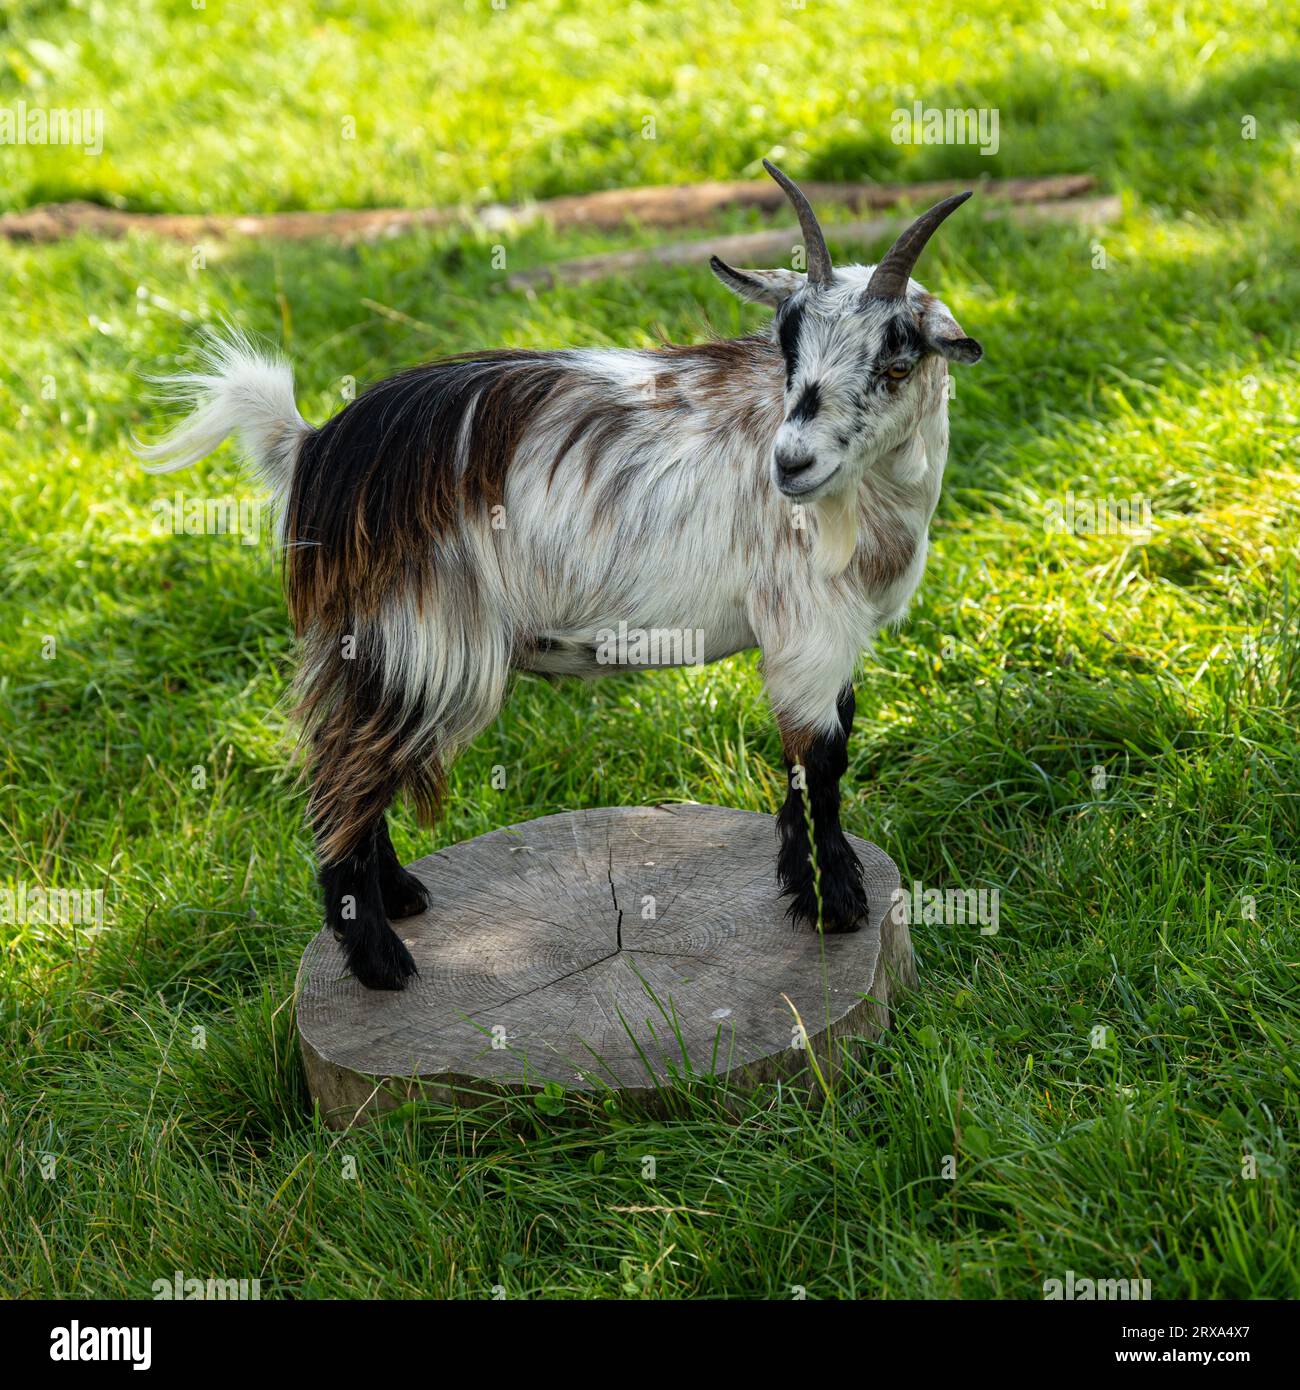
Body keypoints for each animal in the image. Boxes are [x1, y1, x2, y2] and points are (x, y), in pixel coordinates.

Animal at [138, 162, 982, 990]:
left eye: (897, 363)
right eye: (787, 351)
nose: (792, 464)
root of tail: (312, 447)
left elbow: (828, 745)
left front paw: (807, 888)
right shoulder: (807, 628)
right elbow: (821, 761)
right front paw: (835, 904)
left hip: (364, 642)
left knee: (350, 765)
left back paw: (402, 898)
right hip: (419, 640)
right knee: (346, 772)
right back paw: (381, 960)